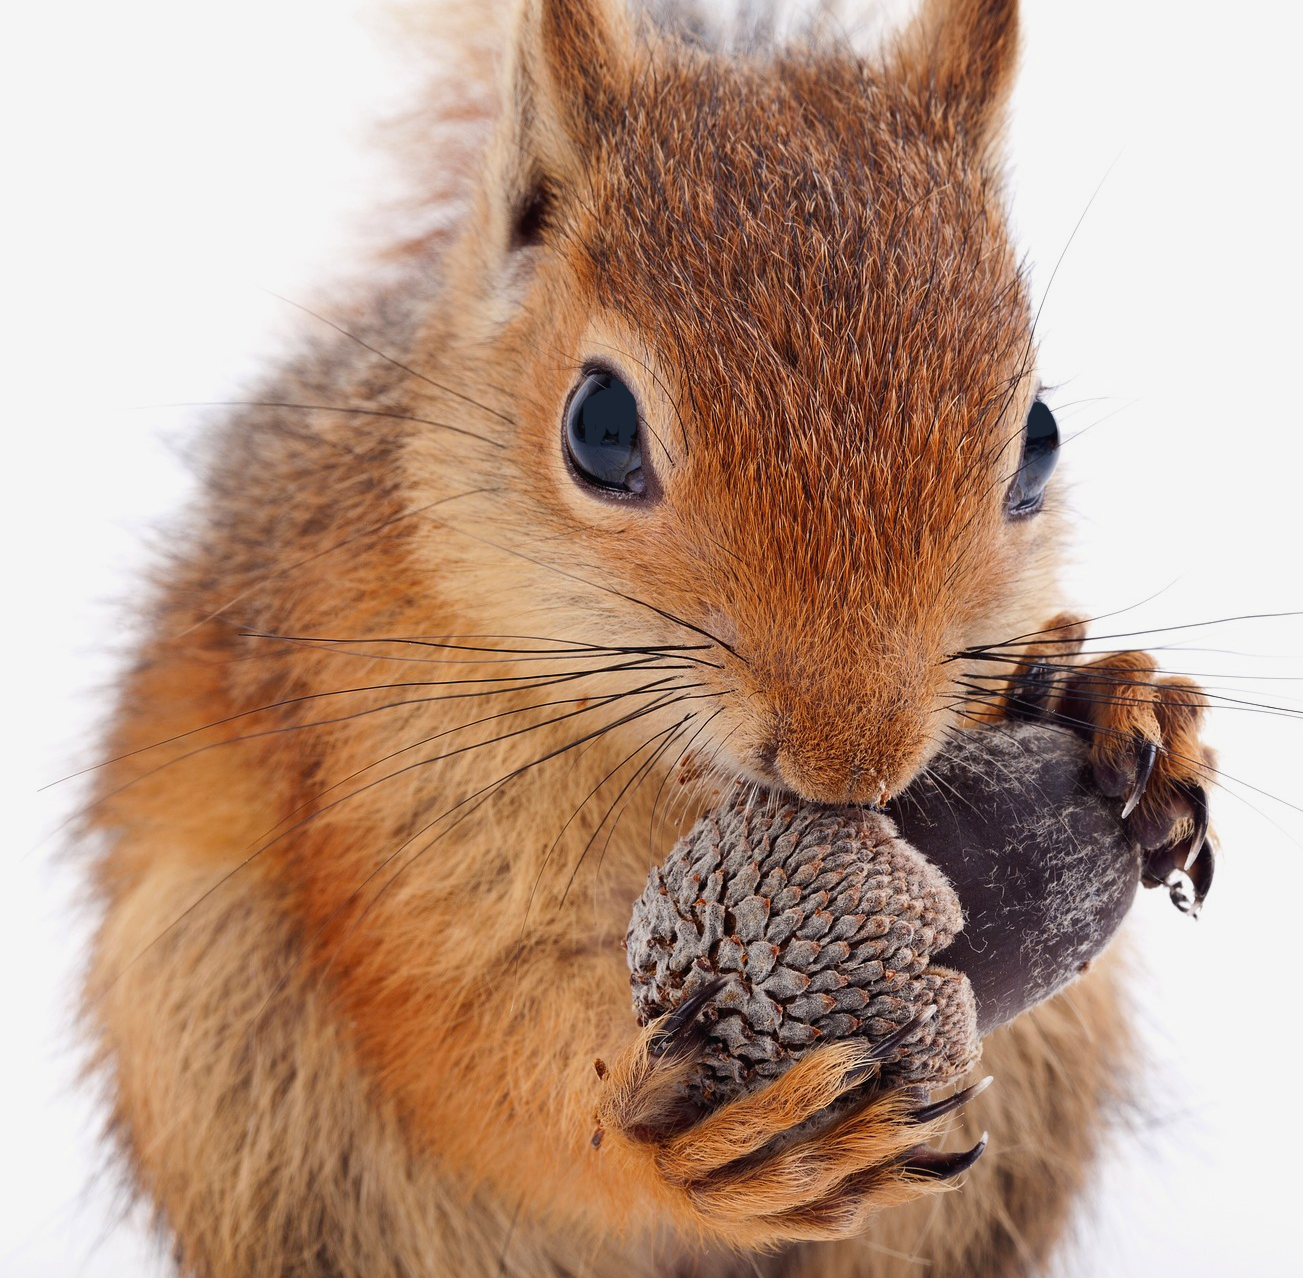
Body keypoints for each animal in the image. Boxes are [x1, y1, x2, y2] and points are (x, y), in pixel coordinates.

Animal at [82, 1, 1216, 1274]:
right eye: (600, 427)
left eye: (1039, 438)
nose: (854, 760)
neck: (675, 777)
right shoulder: (371, 772)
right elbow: (461, 1024)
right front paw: (671, 1145)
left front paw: (1116, 705)